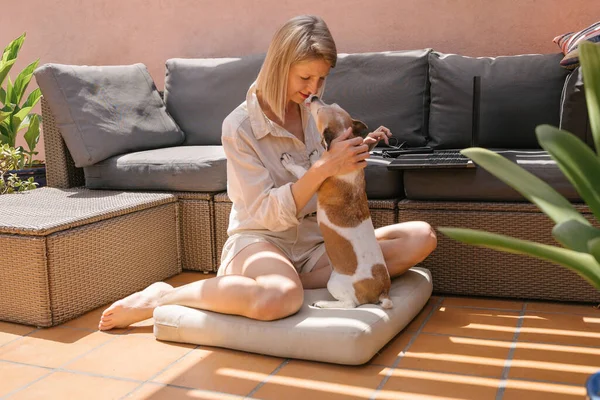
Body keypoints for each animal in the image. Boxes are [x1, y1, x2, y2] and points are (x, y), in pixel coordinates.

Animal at [282, 97, 394, 310]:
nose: (314, 97)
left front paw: (290, 161)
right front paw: (315, 155)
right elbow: (317, 162)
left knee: (350, 304)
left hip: (333, 282)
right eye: (330, 103)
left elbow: (303, 171)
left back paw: (322, 303)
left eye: (319, 112)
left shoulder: (317, 184)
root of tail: (382, 291)